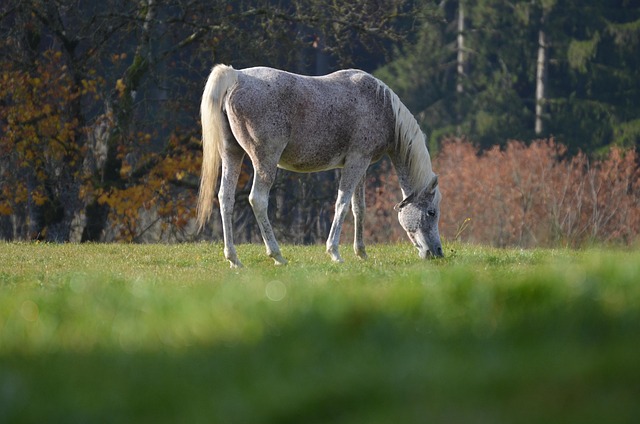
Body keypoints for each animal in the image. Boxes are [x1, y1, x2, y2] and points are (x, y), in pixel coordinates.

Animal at [197, 64, 443, 267]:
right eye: (431, 212)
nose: (438, 252)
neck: (381, 105)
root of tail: (237, 76)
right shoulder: (356, 161)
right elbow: (342, 204)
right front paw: (334, 252)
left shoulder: (361, 165)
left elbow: (359, 208)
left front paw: (361, 253)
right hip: (265, 160)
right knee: (257, 199)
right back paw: (277, 255)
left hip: (232, 155)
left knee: (225, 198)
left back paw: (234, 259)